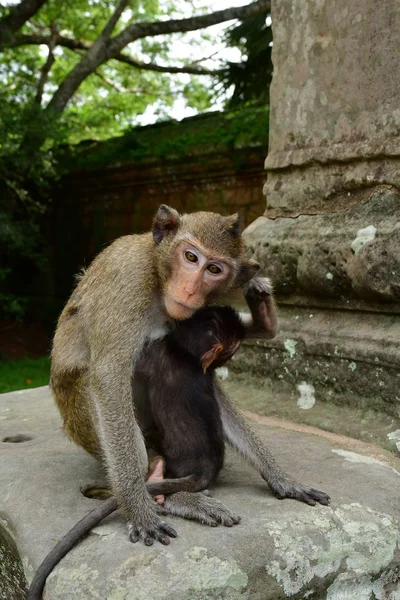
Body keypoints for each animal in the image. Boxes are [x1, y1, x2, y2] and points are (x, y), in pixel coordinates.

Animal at [50, 206, 330, 548]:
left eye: (214, 269)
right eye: (190, 257)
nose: (189, 288)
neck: (158, 276)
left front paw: (280, 477)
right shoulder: (127, 279)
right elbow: (108, 376)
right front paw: (137, 506)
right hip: (82, 425)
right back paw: (163, 491)